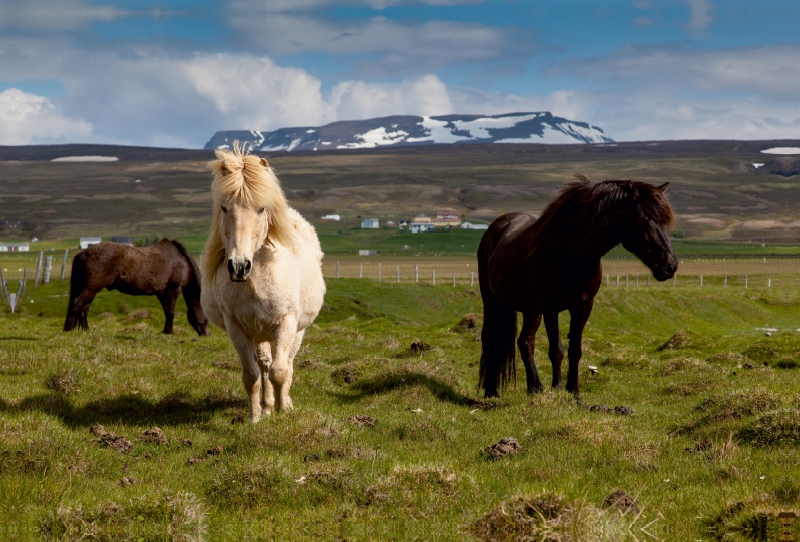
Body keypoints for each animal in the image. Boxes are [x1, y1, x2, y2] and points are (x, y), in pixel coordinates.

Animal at [64, 239, 211, 336]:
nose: (207, 334)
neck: (182, 264)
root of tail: (85, 252)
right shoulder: (172, 291)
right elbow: (170, 313)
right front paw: (169, 332)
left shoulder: (162, 293)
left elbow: (167, 312)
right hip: (91, 288)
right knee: (77, 305)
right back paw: (68, 330)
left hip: (90, 290)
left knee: (84, 309)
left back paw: (86, 331)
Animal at [200, 146, 324, 424]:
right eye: (224, 208)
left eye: (261, 209)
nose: (238, 266)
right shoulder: (237, 328)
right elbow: (252, 375)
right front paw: (256, 417)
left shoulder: (287, 323)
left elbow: (280, 371)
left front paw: (282, 410)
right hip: (259, 333)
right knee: (264, 363)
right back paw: (267, 405)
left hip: (296, 331)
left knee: (286, 362)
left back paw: (283, 402)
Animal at [478, 177, 680, 400]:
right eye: (644, 220)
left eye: (664, 222)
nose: (670, 266)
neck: (571, 253)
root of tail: (496, 226)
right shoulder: (551, 307)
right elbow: (556, 350)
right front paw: (558, 388)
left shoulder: (583, 306)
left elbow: (575, 349)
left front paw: (573, 392)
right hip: (492, 300)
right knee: (491, 338)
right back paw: (491, 391)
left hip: (531, 309)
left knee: (525, 342)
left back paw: (535, 388)